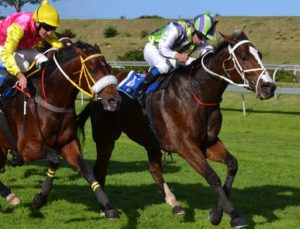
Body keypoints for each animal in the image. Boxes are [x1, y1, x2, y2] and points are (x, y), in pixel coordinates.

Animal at [0, 40, 122, 218]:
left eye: (109, 68)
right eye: (92, 69)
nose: (115, 101)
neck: (50, 101)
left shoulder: (68, 143)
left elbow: (87, 171)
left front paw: (108, 207)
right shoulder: (27, 147)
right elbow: (54, 158)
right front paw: (40, 197)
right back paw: (10, 195)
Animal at [77, 32, 276, 227]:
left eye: (260, 55)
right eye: (243, 57)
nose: (269, 87)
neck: (197, 93)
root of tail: (97, 90)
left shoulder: (208, 143)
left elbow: (232, 165)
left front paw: (217, 214)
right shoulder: (185, 146)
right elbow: (212, 176)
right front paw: (234, 216)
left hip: (150, 140)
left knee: (154, 169)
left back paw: (175, 204)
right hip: (106, 137)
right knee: (100, 169)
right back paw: (105, 209)